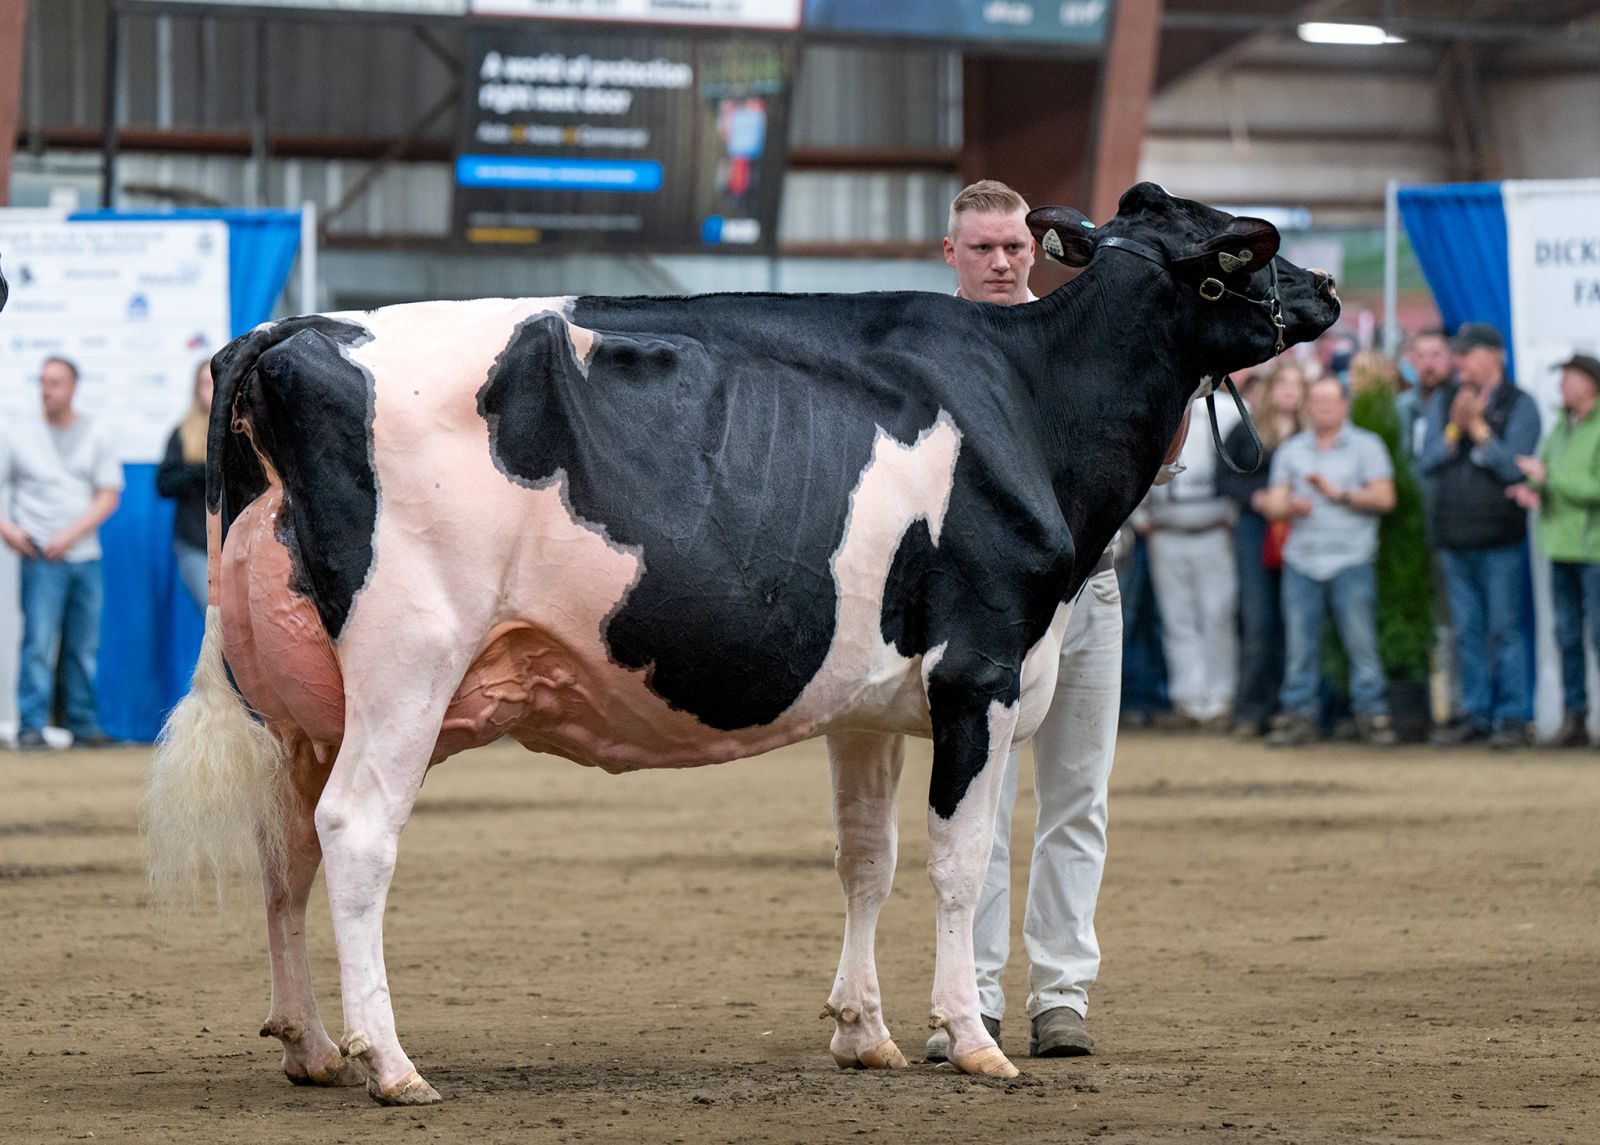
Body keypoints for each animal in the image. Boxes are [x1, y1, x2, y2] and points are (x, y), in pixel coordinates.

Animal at [143, 182, 1339, 1105]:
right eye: (1242, 247)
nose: (1327, 290)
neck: (1032, 402)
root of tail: (290, 332)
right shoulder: (984, 666)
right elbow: (959, 864)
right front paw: (971, 1040)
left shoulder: (871, 701)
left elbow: (868, 857)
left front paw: (864, 1030)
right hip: (407, 658)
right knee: (355, 832)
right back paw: (389, 1061)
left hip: (297, 703)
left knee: (284, 846)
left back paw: (308, 1045)